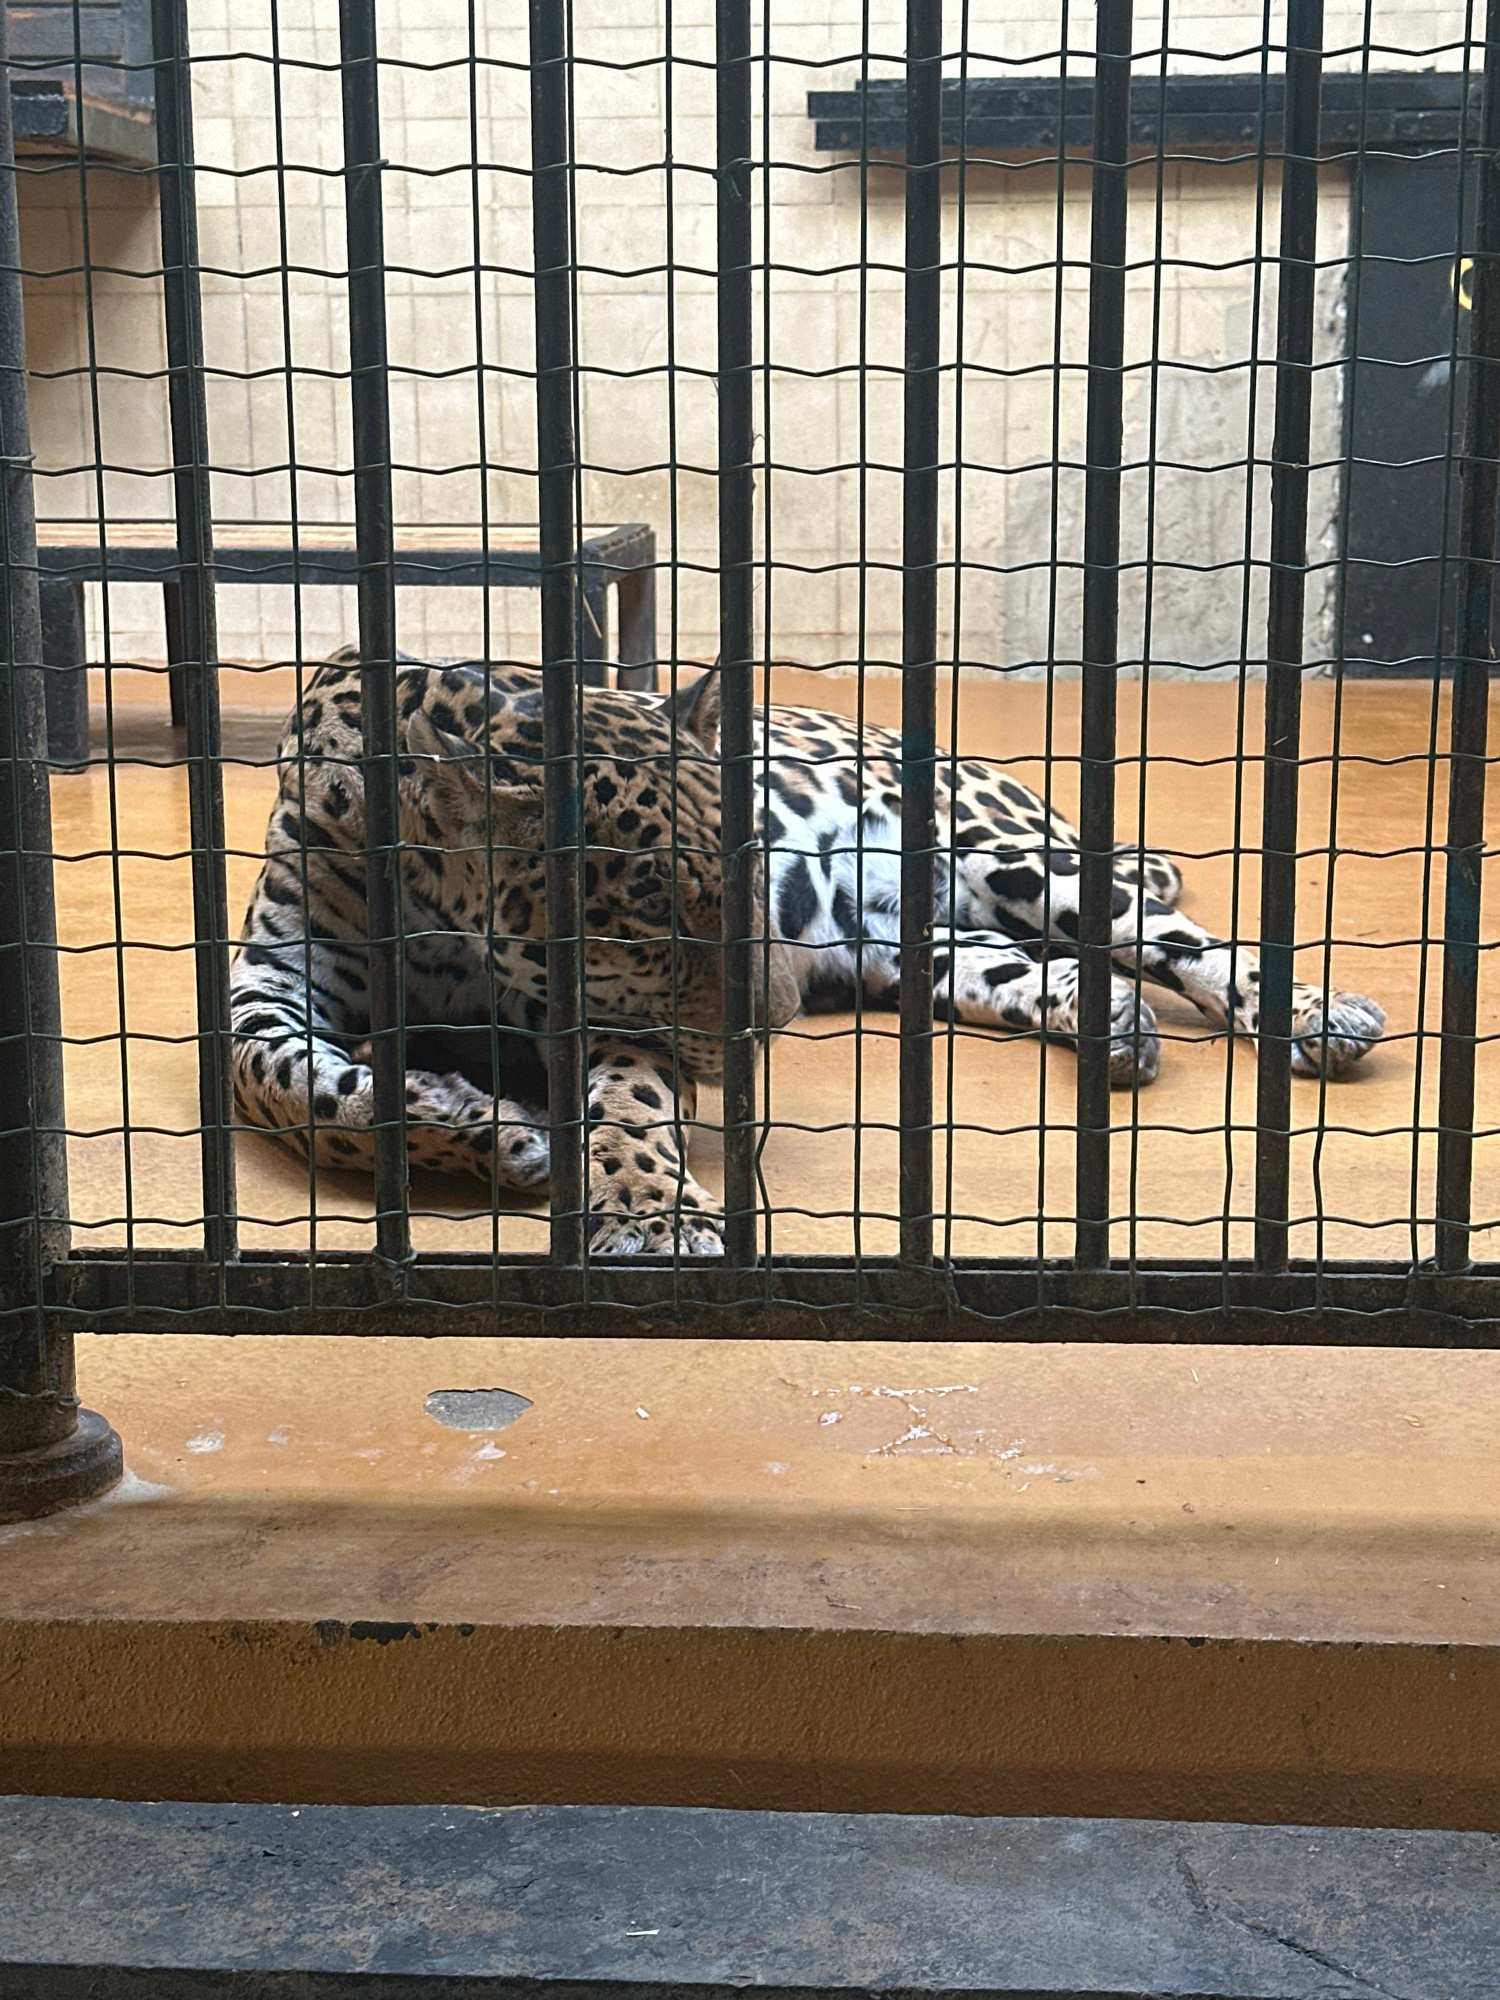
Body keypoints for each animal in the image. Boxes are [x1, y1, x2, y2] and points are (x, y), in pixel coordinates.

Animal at [230, 652, 1386, 1255]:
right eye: (650, 912)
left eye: (747, 863)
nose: (772, 1024)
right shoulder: (269, 989)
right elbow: (283, 1085)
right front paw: (471, 1120)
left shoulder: (617, 1023)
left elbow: (627, 1112)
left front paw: (649, 1212)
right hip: (922, 951)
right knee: (1035, 968)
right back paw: (1112, 1025)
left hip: (1016, 858)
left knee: (1184, 942)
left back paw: (1319, 1015)